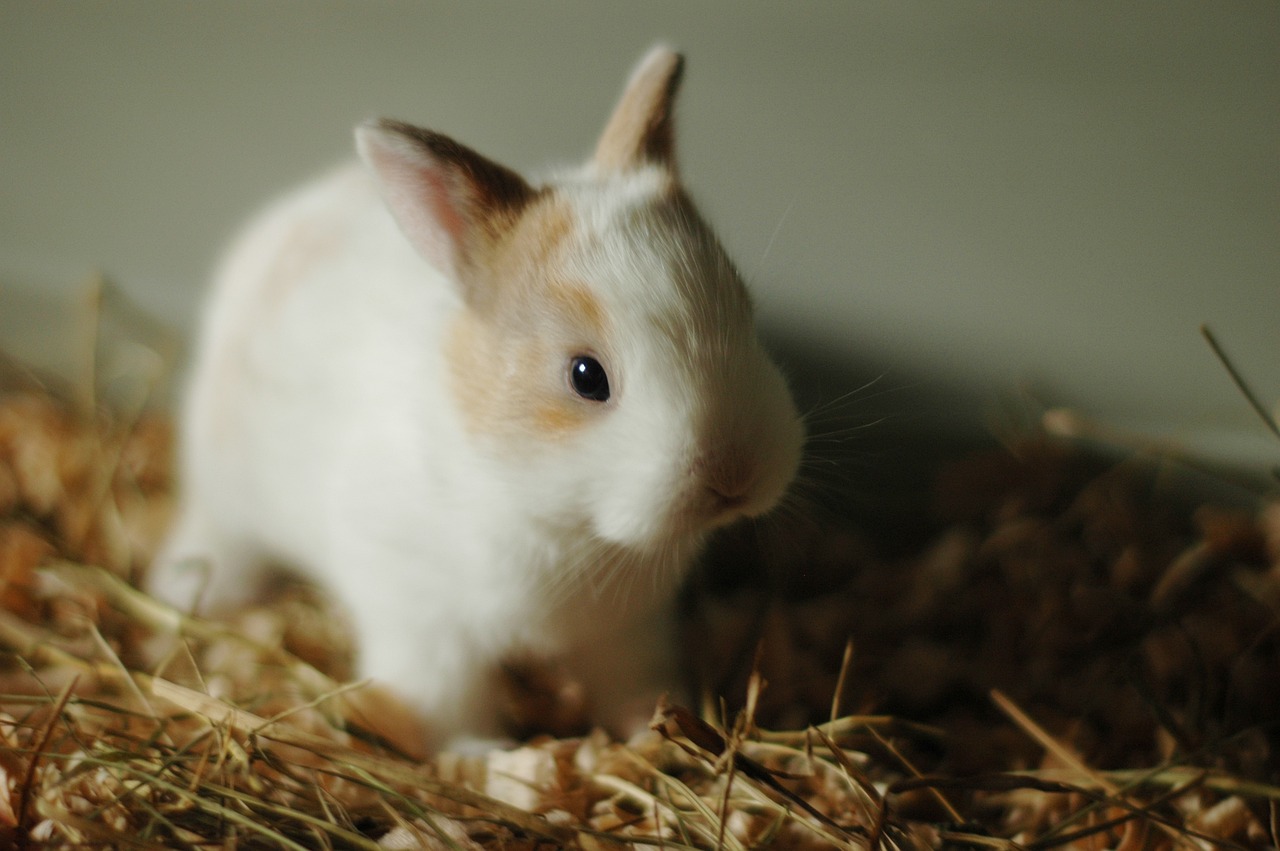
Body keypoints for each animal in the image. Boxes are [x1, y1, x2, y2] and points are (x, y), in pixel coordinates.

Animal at [149, 46, 803, 752]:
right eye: (586, 376)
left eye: (745, 312)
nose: (734, 477)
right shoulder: (423, 621)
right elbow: (447, 701)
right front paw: (481, 756)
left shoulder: (629, 629)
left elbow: (633, 678)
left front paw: (652, 729)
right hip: (226, 490)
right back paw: (187, 591)